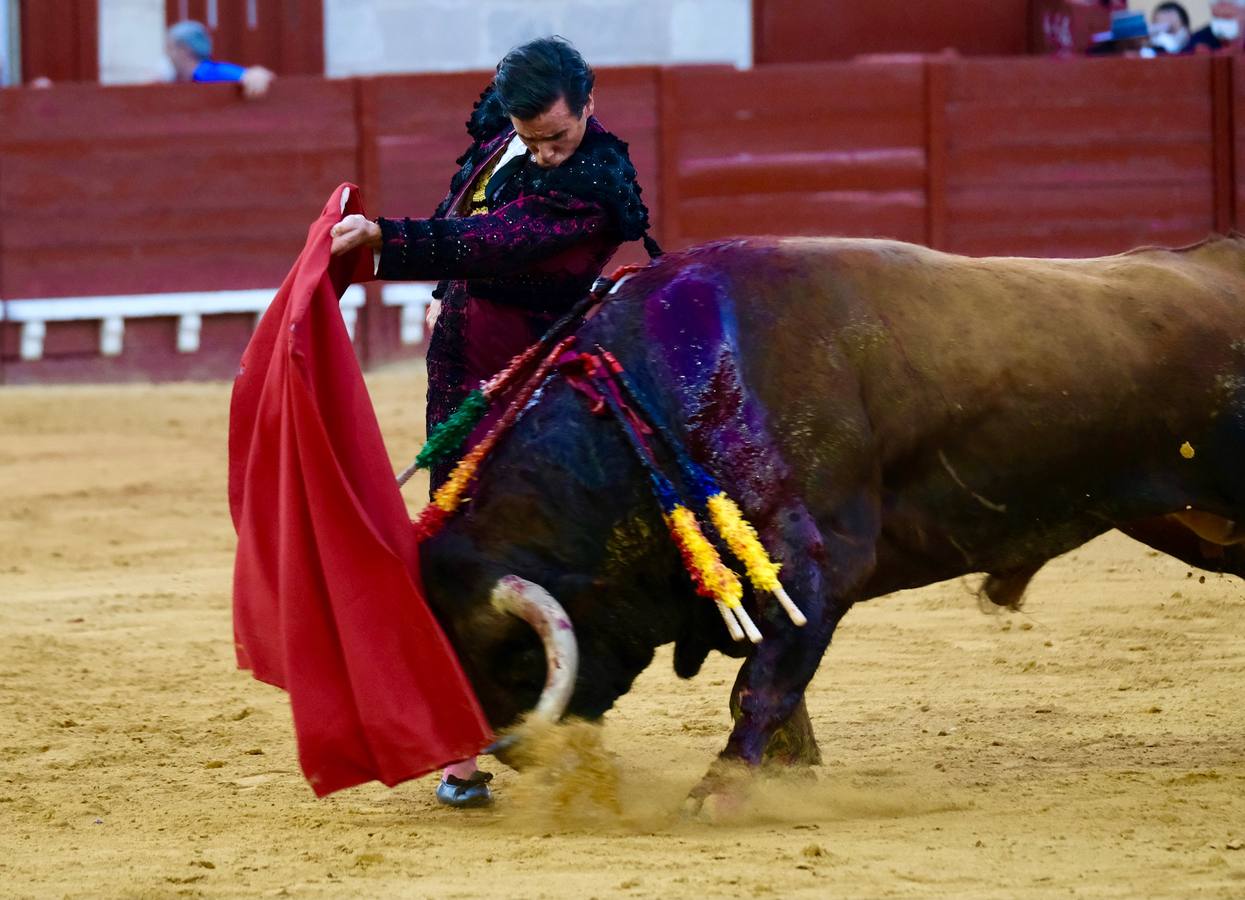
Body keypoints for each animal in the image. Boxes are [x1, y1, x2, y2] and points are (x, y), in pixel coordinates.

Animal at [415, 234, 1245, 811]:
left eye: (511, 660)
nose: (518, 754)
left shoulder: (813, 561)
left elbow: (763, 682)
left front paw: (720, 792)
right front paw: (787, 771)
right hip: (1184, 522)